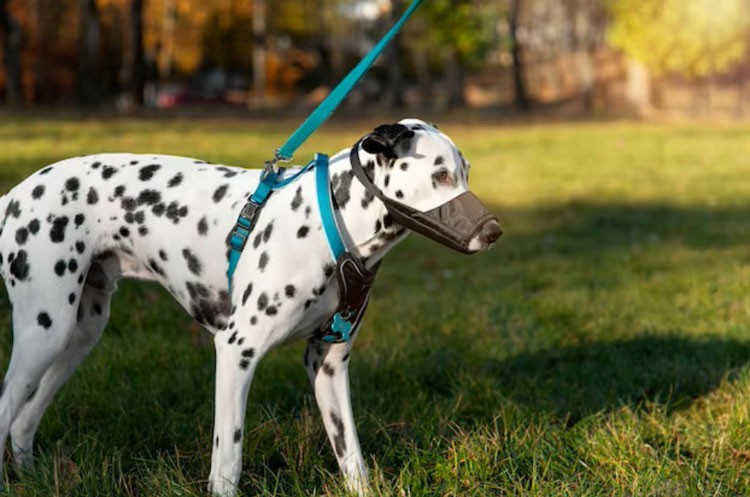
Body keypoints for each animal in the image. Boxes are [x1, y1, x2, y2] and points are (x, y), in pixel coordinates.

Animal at [1, 118, 506, 494]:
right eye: (440, 175)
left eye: (465, 171)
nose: (494, 232)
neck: (335, 220)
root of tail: (12, 196)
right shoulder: (236, 352)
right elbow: (228, 458)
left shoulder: (328, 365)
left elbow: (352, 457)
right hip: (43, 334)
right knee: (8, 407)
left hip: (77, 335)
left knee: (23, 421)